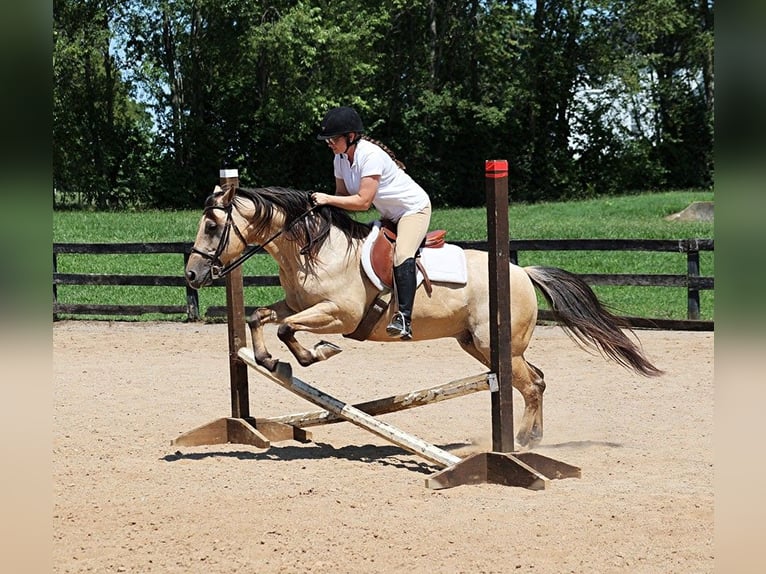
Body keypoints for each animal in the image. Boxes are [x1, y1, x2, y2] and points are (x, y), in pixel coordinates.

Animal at [185, 184, 662, 447]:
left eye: (212, 226)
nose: (191, 275)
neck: (313, 249)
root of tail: (523, 272)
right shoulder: (303, 304)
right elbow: (260, 317)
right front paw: (270, 360)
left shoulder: (339, 314)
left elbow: (287, 328)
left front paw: (315, 353)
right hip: (479, 346)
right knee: (536, 379)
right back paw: (532, 436)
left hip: (497, 346)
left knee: (532, 384)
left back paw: (524, 441)